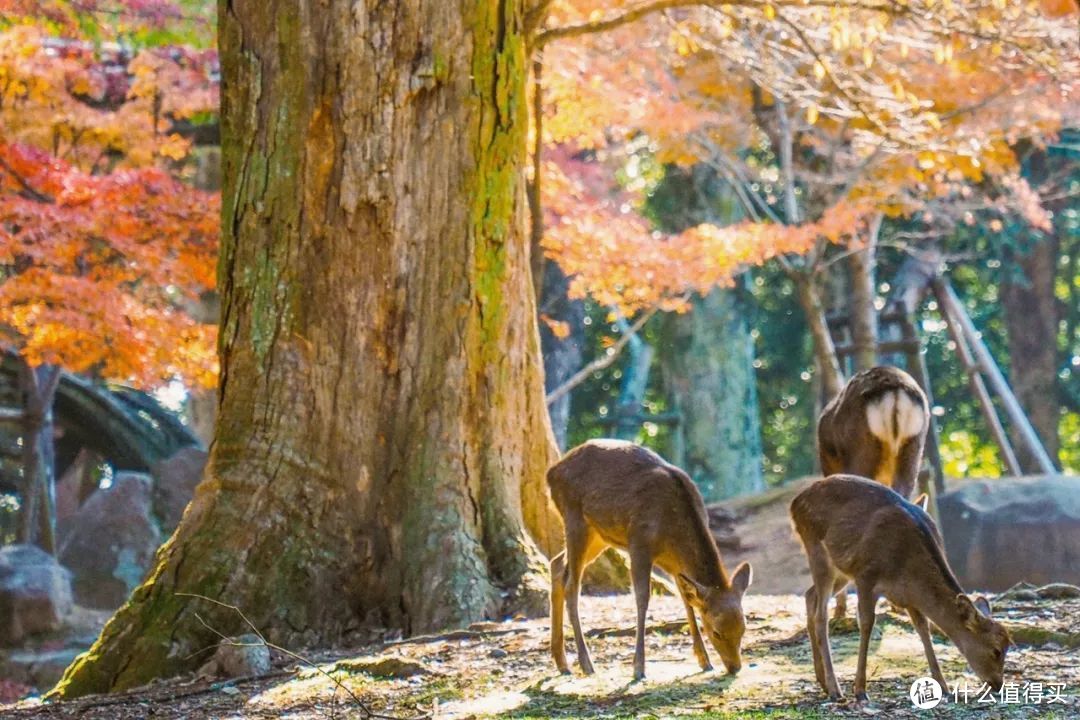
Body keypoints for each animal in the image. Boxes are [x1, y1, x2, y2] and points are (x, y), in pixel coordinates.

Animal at [548, 440, 751, 682]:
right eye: (716, 632)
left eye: (743, 628)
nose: (735, 667)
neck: (672, 532)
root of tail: (551, 472)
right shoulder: (639, 543)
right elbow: (642, 598)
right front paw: (638, 668)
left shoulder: (674, 562)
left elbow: (686, 600)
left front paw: (704, 660)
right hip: (574, 518)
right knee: (572, 585)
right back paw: (586, 663)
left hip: (599, 535)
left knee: (557, 564)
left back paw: (562, 662)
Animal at [790, 474, 1006, 699]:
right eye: (996, 650)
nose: (998, 684)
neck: (907, 569)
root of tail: (795, 502)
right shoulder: (866, 575)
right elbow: (866, 623)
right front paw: (860, 690)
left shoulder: (908, 596)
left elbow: (923, 628)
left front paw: (943, 686)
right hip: (817, 550)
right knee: (821, 615)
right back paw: (834, 689)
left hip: (841, 570)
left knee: (810, 595)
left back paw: (822, 681)